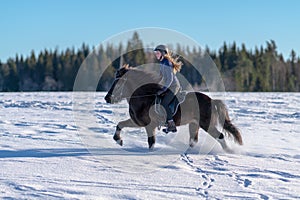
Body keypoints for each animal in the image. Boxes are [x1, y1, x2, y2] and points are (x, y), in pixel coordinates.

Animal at [104, 65, 243, 152]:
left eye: (118, 83)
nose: (107, 98)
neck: (144, 97)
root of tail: (211, 100)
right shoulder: (138, 122)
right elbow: (120, 124)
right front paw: (119, 140)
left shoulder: (148, 125)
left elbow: (151, 142)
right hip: (194, 124)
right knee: (193, 141)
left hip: (206, 124)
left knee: (220, 136)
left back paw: (230, 151)